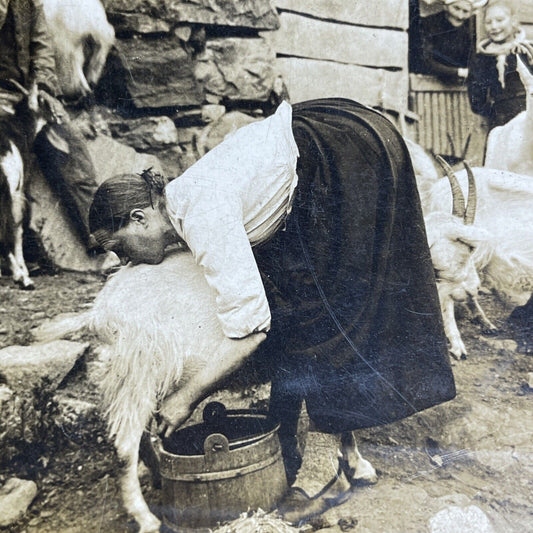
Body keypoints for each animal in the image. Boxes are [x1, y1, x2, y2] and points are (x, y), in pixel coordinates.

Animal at [33, 249, 376, 532]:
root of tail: (99, 314)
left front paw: (356, 467)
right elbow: (342, 416)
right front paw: (351, 469)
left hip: (128, 379)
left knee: (139, 438)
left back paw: (158, 478)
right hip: (138, 372)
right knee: (124, 447)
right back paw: (146, 518)